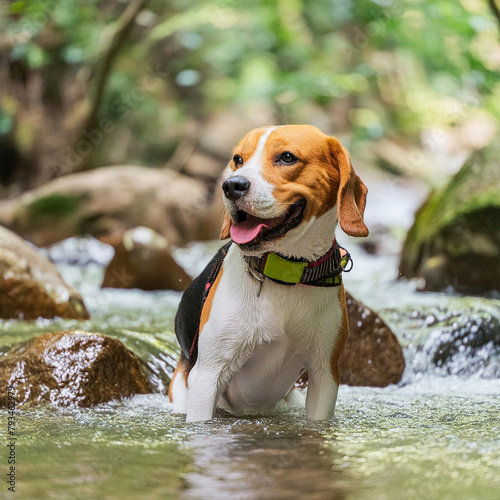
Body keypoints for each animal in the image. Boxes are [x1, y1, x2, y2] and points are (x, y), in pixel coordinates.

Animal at [168, 125, 368, 422]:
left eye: (286, 157)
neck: (284, 271)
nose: (231, 186)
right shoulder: (207, 377)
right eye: (238, 160)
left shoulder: (325, 373)